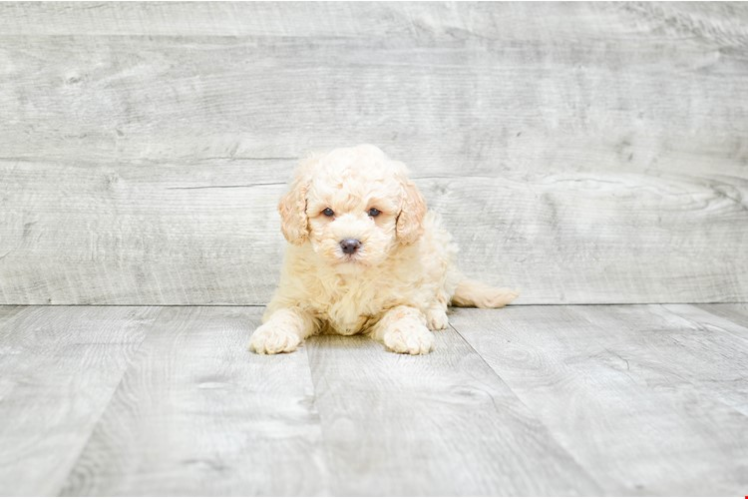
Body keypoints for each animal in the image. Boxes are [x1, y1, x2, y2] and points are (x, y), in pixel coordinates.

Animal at [248, 145, 516, 356]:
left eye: (374, 212)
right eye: (327, 212)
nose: (350, 243)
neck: (351, 277)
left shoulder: (403, 296)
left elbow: (403, 312)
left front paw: (411, 334)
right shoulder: (294, 297)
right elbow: (285, 313)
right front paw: (272, 334)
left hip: (441, 251)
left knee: (440, 294)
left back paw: (433, 315)